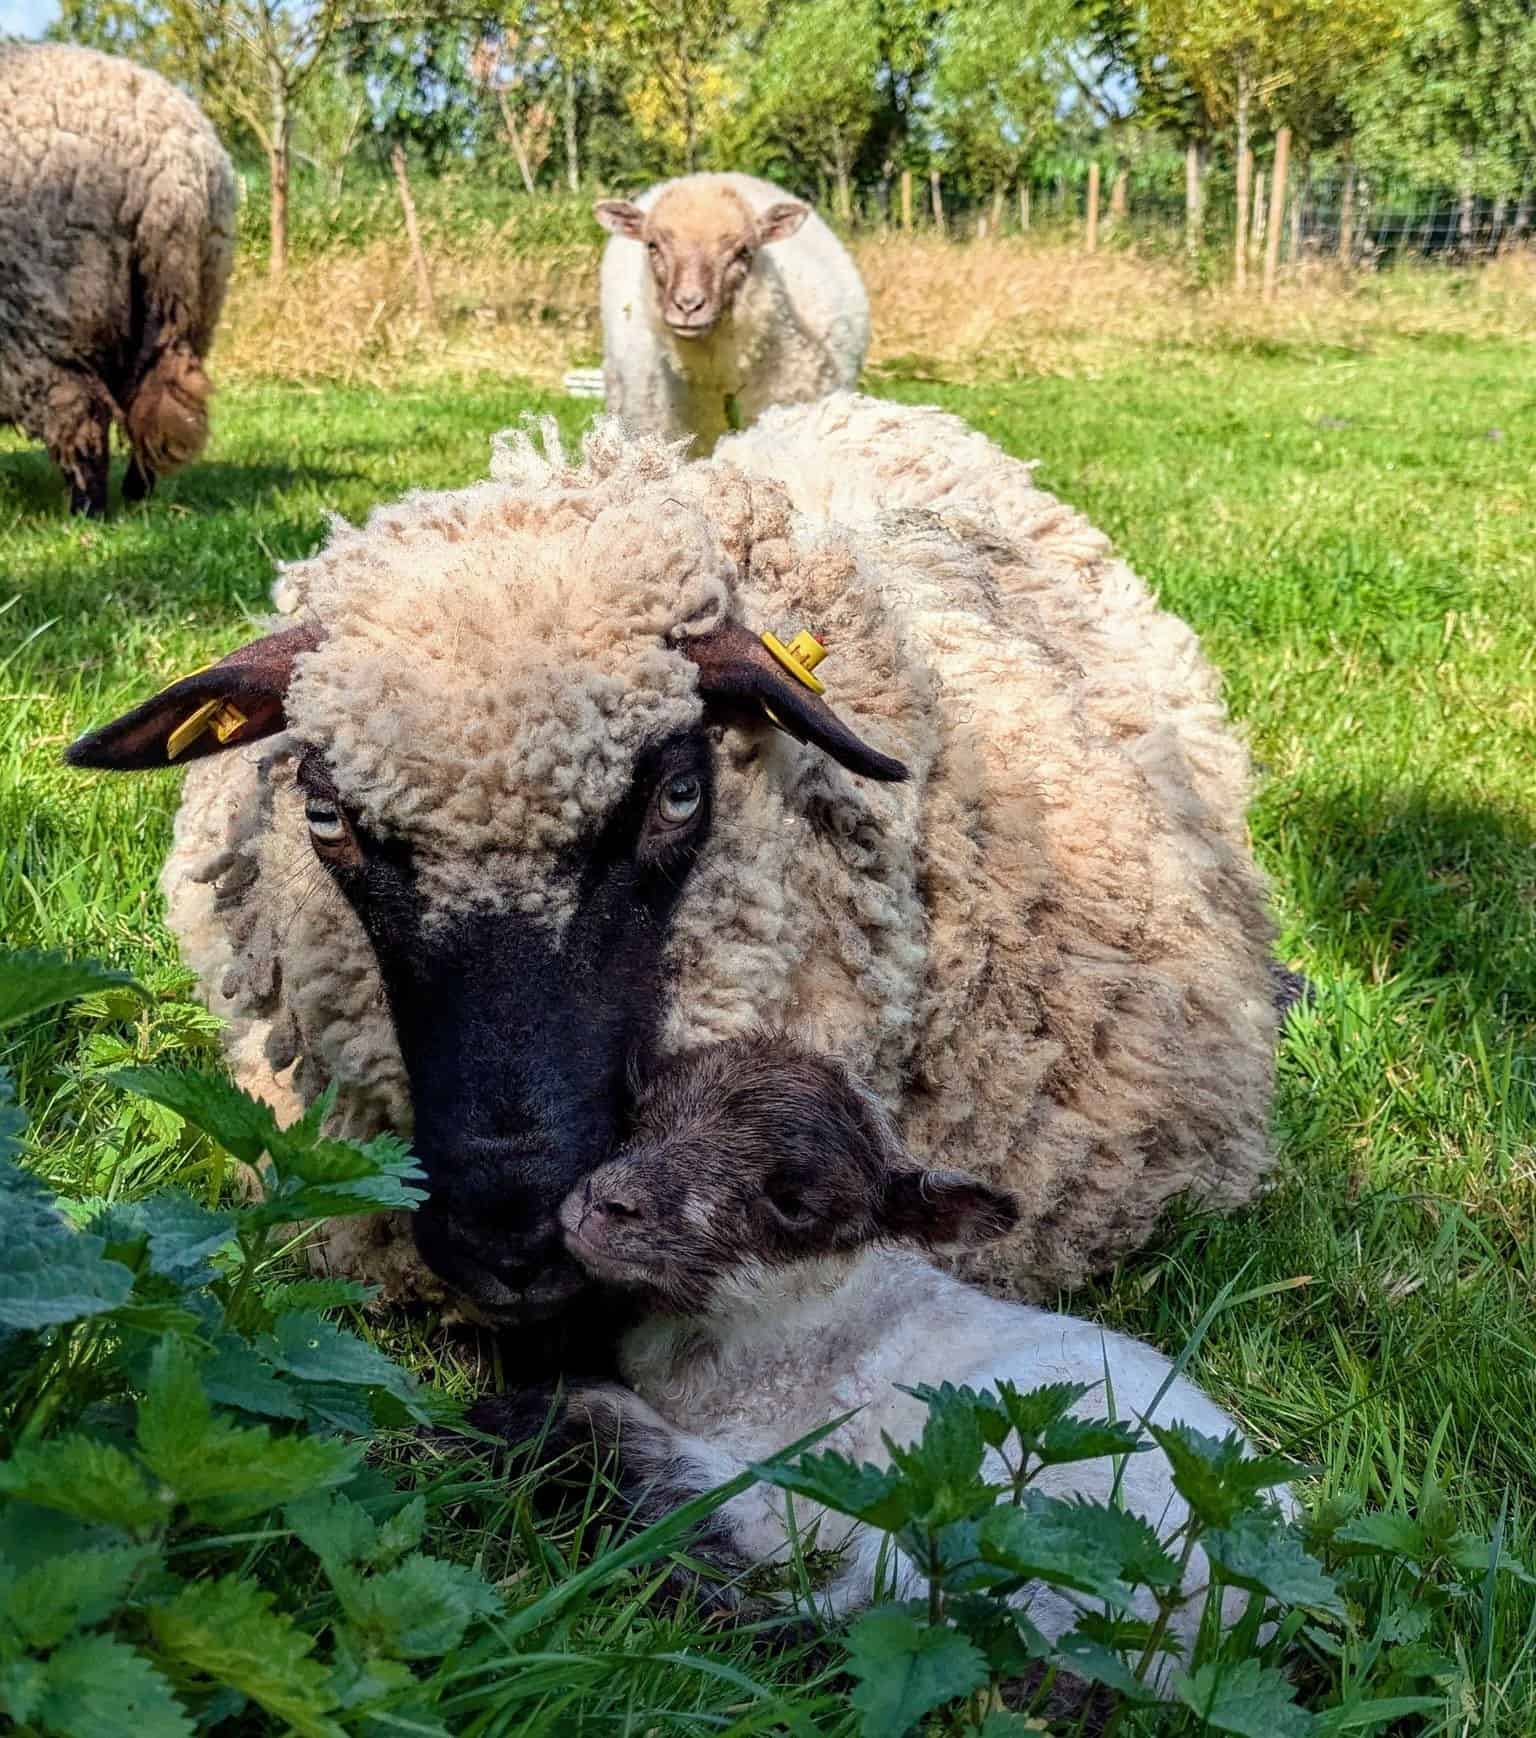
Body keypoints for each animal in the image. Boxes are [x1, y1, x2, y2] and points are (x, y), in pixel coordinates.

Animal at [0, 42, 236, 516]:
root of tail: (171, 167)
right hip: (188, 297)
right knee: (152, 395)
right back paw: (137, 492)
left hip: (40, 309)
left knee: (79, 409)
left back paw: (86, 508)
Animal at [475, 1033, 1291, 1654]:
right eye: (641, 1118)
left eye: (793, 1202)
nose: (601, 1206)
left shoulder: (815, 1478)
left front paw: (514, 1420)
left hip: (997, 1512)